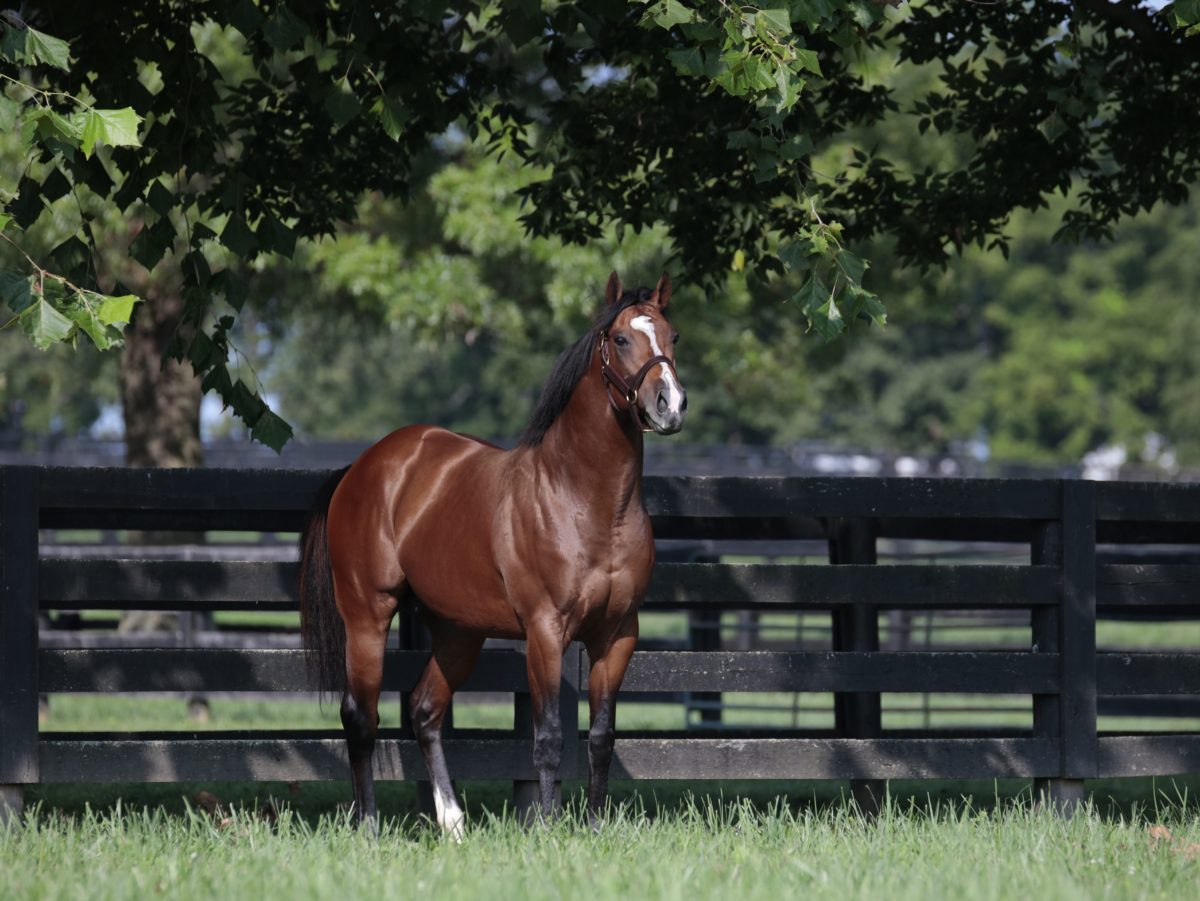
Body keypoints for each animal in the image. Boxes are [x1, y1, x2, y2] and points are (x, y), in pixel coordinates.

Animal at [298, 272, 687, 837]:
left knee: (425, 710)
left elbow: (600, 738)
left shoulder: (617, 635)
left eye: (672, 336)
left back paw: (454, 823)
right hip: (368, 615)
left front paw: (595, 828)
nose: (669, 405)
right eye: (619, 339)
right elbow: (547, 738)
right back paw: (368, 825)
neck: (584, 500)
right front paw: (547, 829)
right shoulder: (546, 632)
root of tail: (362, 468)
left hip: (458, 633)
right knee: (361, 717)